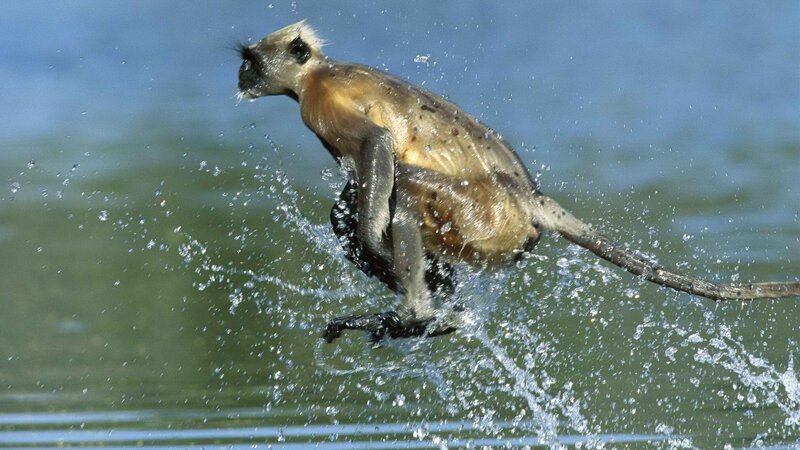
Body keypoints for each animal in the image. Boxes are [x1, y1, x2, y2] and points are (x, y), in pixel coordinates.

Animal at [236, 21, 800, 344]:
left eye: (251, 61)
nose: (241, 78)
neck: (316, 74)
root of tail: (529, 197)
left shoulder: (321, 103)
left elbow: (377, 148)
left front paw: (380, 249)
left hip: (486, 219)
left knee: (404, 192)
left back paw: (417, 312)